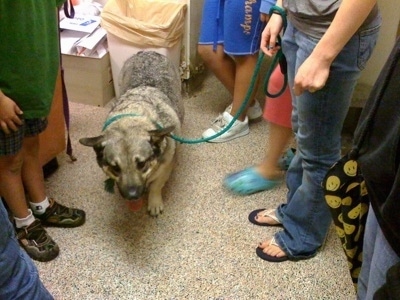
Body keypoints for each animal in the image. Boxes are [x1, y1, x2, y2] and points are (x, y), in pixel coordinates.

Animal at [79, 51, 184, 216]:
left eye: (141, 164)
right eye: (115, 168)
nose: (132, 196)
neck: (131, 119)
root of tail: (147, 51)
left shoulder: (166, 166)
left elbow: (156, 185)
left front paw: (154, 202)